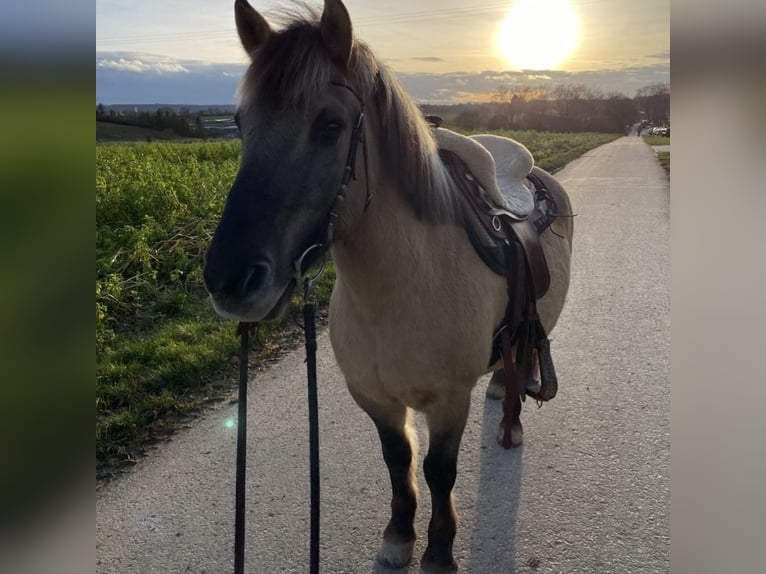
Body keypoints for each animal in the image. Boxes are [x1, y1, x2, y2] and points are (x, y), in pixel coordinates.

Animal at [203, 1, 573, 571]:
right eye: (241, 125)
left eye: (330, 125)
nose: (229, 279)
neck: (398, 290)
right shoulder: (375, 399)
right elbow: (398, 460)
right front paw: (399, 535)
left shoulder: (448, 402)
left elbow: (439, 472)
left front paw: (438, 551)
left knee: (527, 353)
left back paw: (512, 416)